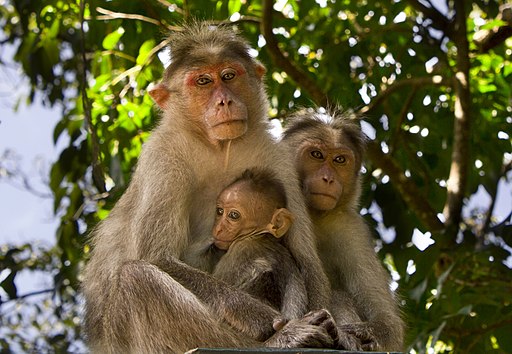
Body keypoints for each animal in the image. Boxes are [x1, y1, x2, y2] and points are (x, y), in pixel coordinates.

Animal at [212, 169, 308, 324]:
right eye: (220, 211)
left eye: (234, 215)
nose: (218, 228)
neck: (259, 236)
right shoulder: (284, 254)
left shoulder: (240, 250)